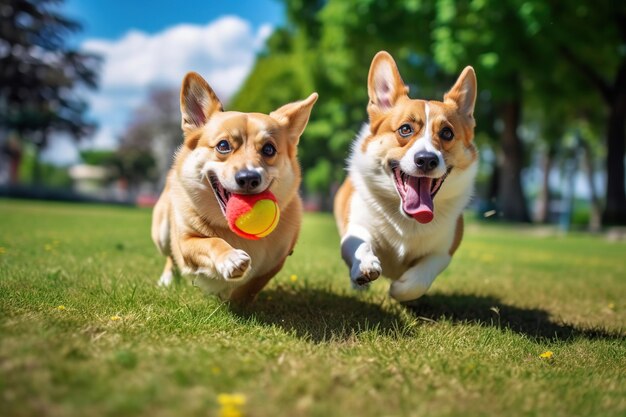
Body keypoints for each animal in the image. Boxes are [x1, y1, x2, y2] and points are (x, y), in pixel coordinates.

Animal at [151, 71, 316, 302]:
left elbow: (252, 286)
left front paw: (236, 301)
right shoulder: (186, 242)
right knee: (169, 257)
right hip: (162, 231)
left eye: (269, 149)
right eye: (223, 145)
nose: (248, 178)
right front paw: (230, 258)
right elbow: (210, 242)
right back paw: (166, 280)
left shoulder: (277, 261)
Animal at [334, 50, 476, 300]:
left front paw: (400, 289)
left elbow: (421, 276)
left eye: (447, 133)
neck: (407, 220)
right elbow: (360, 244)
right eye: (405, 129)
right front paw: (365, 266)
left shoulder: (444, 250)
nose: (426, 159)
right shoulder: (357, 227)